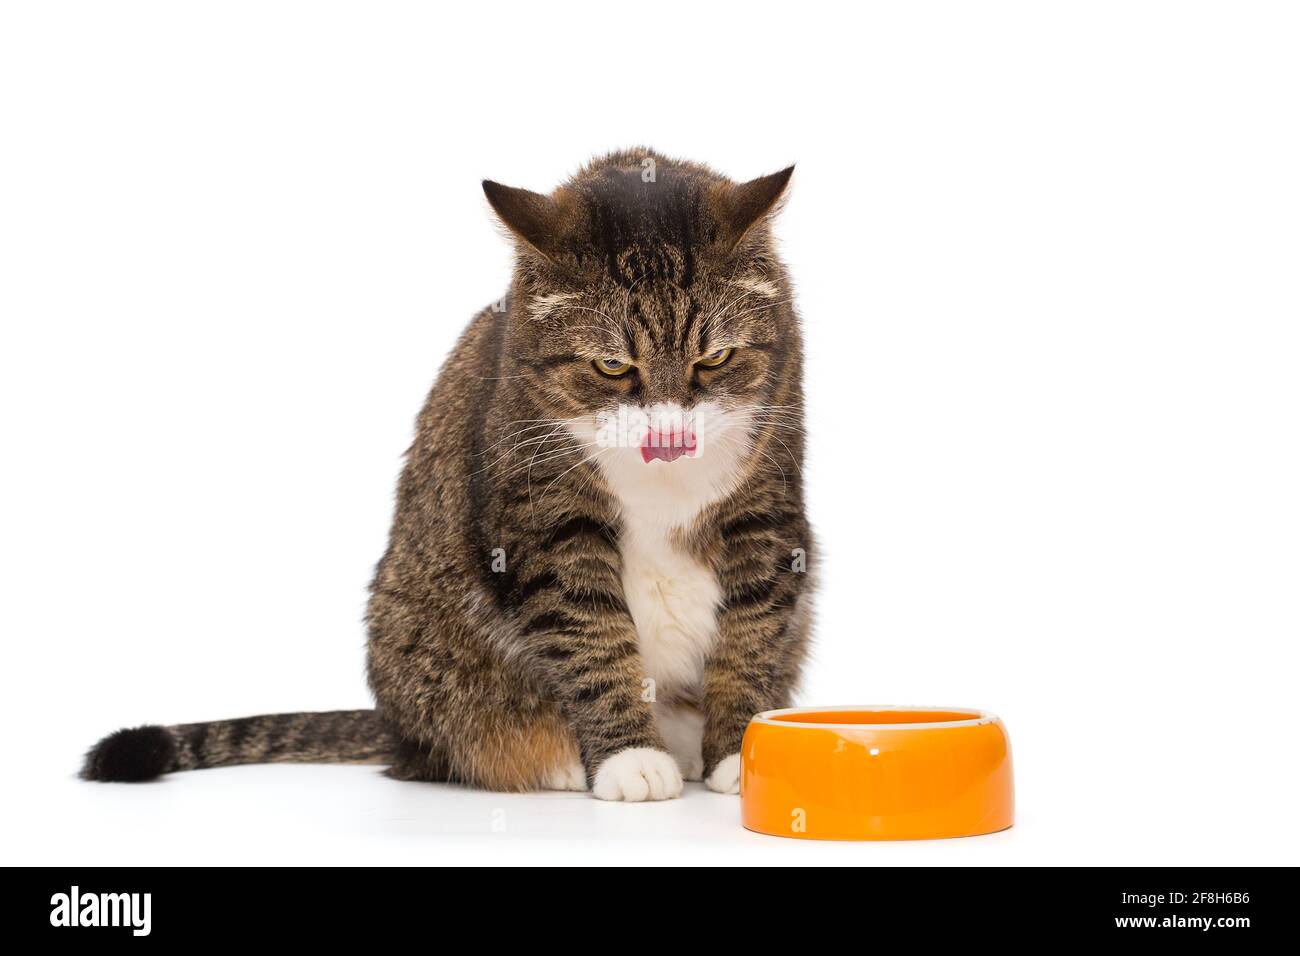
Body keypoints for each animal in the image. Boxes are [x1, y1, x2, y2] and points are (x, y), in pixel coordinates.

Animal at [81, 149, 811, 806]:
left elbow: (754, 633)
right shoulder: (544, 524)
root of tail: (396, 730)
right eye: (611, 366)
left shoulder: (766, 511)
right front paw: (630, 757)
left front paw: (742, 751)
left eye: (714, 358)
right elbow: (591, 637)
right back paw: (556, 759)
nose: (669, 437)